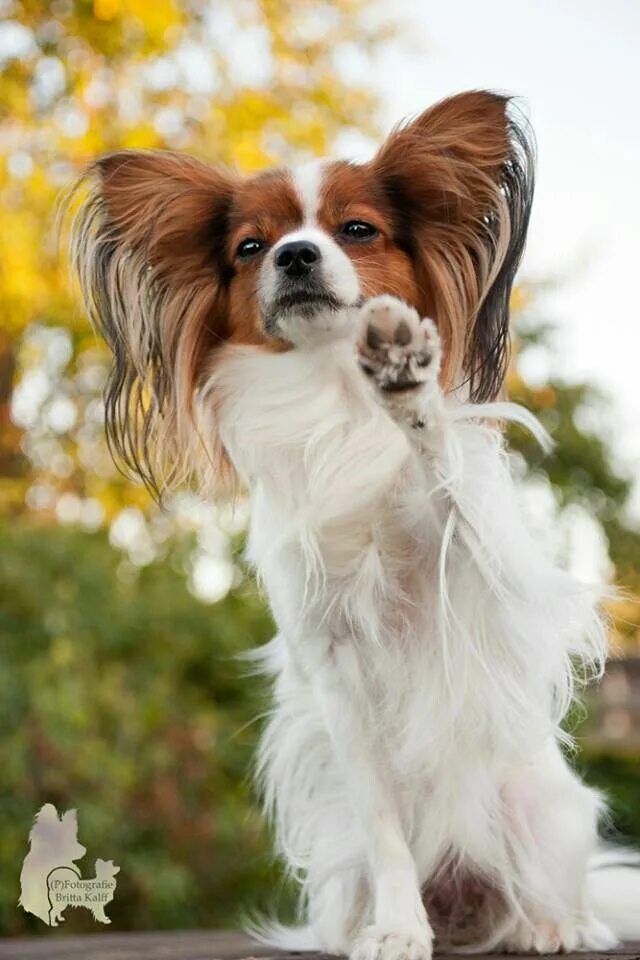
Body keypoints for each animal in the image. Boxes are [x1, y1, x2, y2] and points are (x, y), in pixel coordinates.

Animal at [71, 92, 640, 960]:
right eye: (251, 247)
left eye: (357, 229)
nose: (296, 256)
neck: (336, 395)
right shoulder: (336, 675)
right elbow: (387, 831)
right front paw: (398, 929)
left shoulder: (491, 579)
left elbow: (443, 469)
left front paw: (410, 388)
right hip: (340, 841)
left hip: (544, 805)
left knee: (551, 888)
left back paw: (556, 924)